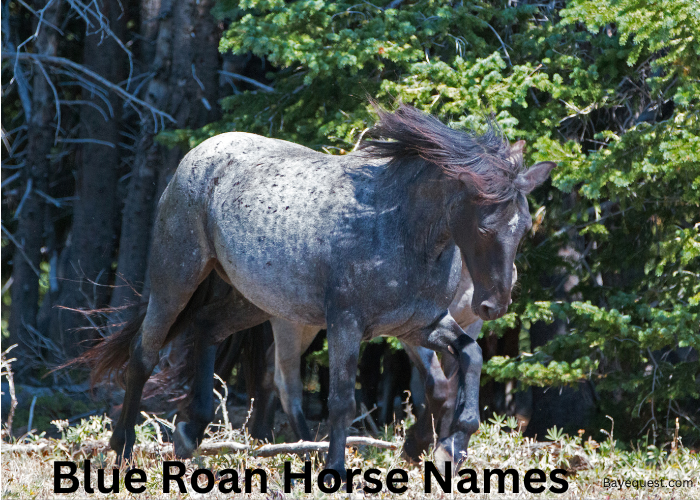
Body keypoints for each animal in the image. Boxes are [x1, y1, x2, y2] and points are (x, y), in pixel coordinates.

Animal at [87, 103, 556, 474]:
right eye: (484, 226)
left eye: (523, 228)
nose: (493, 304)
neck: (400, 229)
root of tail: (199, 154)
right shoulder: (347, 324)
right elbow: (343, 400)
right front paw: (336, 469)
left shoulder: (418, 325)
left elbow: (467, 362)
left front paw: (451, 442)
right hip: (178, 280)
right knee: (145, 354)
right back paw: (123, 450)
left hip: (254, 300)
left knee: (206, 329)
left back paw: (189, 430)